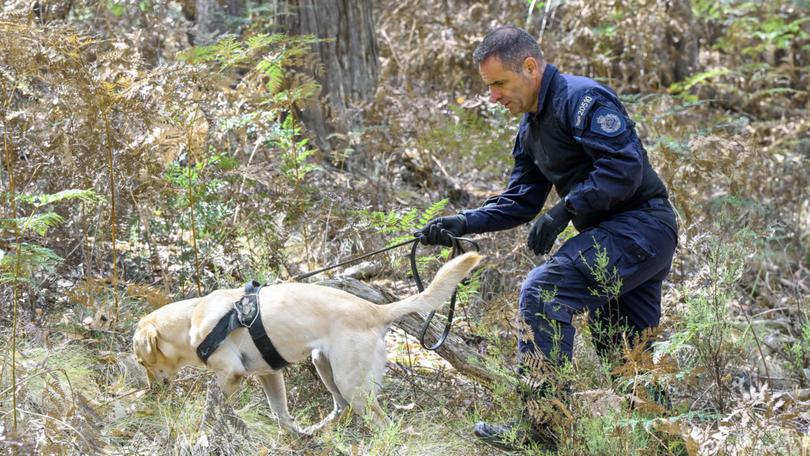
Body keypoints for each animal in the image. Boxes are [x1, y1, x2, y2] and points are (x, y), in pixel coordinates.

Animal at [129, 253, 476, 434]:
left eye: (144, 362)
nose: (151, 391)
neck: (192, 320)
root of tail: (375, 310)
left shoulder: (230, 373)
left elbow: (212, 407)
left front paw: (206, 432)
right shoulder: (269, 374)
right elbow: (280, 413)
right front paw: (290, 436)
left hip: (351, 382)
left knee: (380, 421)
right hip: (324, 366)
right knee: (339, 407)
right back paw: (317, 432)